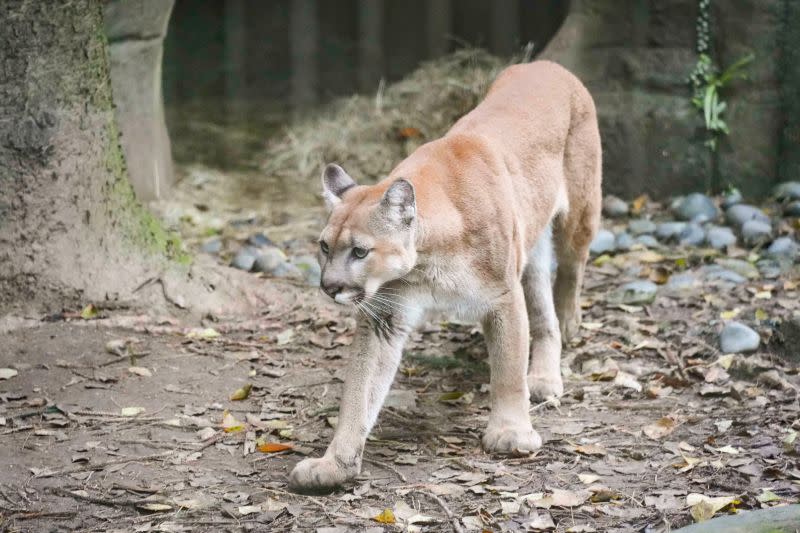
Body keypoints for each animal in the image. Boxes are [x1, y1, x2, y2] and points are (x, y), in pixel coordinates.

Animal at [290, 60, 600, 492]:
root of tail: (545, 63)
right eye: (323, 246)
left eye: (360, 251)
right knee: (542, 304)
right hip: (530, 242)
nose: (329, 287)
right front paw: (335, 462)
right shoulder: (384, 315)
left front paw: (511, 433)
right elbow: (359, 390)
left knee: (571, 267)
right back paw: (543, 373)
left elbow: (507, 369)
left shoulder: (502, 297)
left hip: (580, 213)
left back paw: (567, 327)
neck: (429, 260)